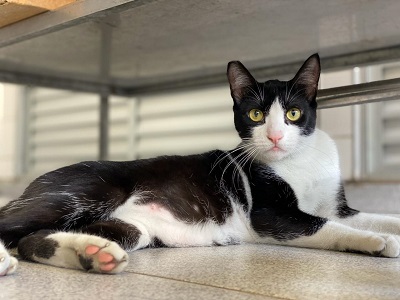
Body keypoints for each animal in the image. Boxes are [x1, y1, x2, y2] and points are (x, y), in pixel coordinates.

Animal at [0, 52, 400, 276]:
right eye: (256, 115)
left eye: (293, 113)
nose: (274, 137)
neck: (300, 160)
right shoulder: (270, 214)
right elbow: (322, 225)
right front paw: (379, 240)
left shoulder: (338, 207)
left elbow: (362, 216)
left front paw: (385, 228)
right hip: (89, 190)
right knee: (12, 224)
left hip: (132, 227)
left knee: (32, 239)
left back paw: (92, 254)